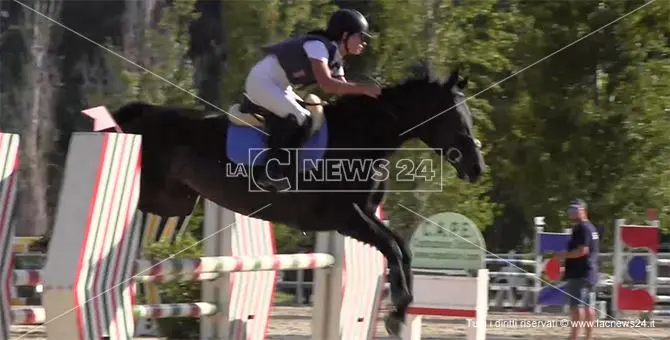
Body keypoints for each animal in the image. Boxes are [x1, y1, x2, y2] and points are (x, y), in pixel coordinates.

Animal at [100, 62, 486, 336]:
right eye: (455, 118)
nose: (476, 167)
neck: (360, 137)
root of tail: (142, 113)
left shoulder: (361, 215)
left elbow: (401, 249)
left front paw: (400, 312)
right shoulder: (345, 218)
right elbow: (392, 247)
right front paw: (398, 310)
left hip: (175, 200)